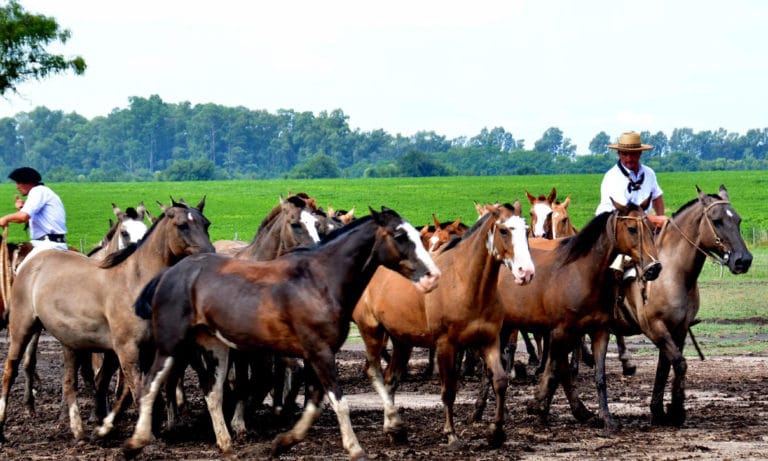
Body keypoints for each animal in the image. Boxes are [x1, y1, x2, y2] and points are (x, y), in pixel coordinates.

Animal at [0, 196, 214, 440]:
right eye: (182, 225)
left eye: (206, 223)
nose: (210, 253)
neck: (135, 282)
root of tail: (30, 261)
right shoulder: (126, 349)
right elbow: (136, 389)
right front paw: (146, 436)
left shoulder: (149, 349)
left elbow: (143, 389)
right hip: (22, 328)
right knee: (10, 370)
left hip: (69, 342)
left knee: (69, 381)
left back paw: (78, 431)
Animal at [123, 207, 440, 458]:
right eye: (399, 236)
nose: (433, 277)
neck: (318, 281)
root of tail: (167, 274)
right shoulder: (320, 352)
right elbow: (339, 402)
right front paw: (356, 449)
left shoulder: (314, 354)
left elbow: (314, 403)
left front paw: (284, 441)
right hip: (171, 344)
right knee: (150, 384)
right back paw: (136, 442)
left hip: (215, 346)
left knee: (212, 392)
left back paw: (226, 444)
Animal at [352, 205, 536, 450]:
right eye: (504, 231)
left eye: (526, 230)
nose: (526, 272)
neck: (467, 284)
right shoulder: (446, 345)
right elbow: (448, 390)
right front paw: (451, 435)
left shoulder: (489, 340)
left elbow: (499, 381)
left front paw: (496, 432)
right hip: (373, 332)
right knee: (375, 373)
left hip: (402, 340)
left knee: (391, 380)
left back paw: (394, 430)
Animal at [474, 198, 660, 428]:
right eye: (632, 229)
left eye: (651, 228)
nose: (654, 267)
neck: (583, 273)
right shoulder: (561, 331)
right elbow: (556, 371)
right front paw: (539, 407)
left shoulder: (599, 331)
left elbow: (598, 375)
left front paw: (605, 417)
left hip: (507, 325)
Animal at [608, 183, 752, 424]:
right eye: (716, 221)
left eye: (739, 220)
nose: (744, 260)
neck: (672, 274)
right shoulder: (655, 327)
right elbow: (679, 363)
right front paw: (675, 410)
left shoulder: (679, 328)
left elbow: (666, 366)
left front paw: (661, 410)